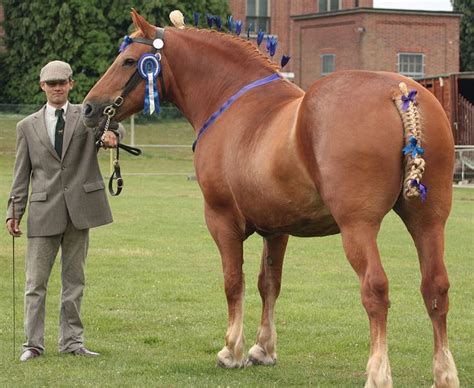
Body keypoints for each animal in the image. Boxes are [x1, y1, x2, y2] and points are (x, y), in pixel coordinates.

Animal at [82, 9, 460, 388]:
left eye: (129, 61)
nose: (88, 107)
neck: (233, 104)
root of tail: (400, 92)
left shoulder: (221, 220)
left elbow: (234, 282)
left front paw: (231, 350)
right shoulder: (277, 227)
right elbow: (269, 283)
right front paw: (263, 348)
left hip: (359, 226)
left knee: (376, 289)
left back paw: (378, 371)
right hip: (428, 221)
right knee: (436, 288)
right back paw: (444, 372)